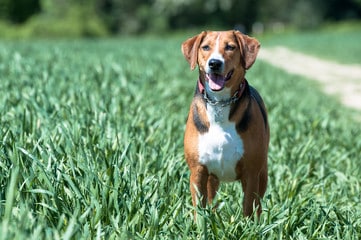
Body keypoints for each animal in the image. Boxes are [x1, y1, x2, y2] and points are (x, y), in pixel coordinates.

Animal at [181, 30, 268, 218]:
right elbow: (199, 211)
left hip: (262, 173)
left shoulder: (251, 172)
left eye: (230, 47)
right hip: (211, 179)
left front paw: (248, 226)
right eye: (205, 47)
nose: (214, 63)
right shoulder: (198, 172)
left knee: (258, 203)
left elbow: (249, 207)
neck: (219, 103)